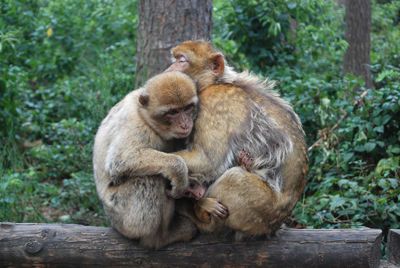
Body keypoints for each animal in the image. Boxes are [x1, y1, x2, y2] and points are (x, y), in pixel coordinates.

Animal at [92, 70, 206, 248]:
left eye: (187, 108)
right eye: (173, 112)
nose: (185, 124)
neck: (145, 116)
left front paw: (192, 183)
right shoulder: (135, 124)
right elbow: (120, 160)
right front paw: (180, 172)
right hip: (123, 217)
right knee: (153, 179)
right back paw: (161, 237)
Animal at [166, 40, 310, 239]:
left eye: (182, 60)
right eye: (175, 60)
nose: (168, 70)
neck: (215, 82)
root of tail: (275, 225)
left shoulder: (214, 102)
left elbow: (208, 162)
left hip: (259, 210)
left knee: (233, 177)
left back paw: (202, 214)